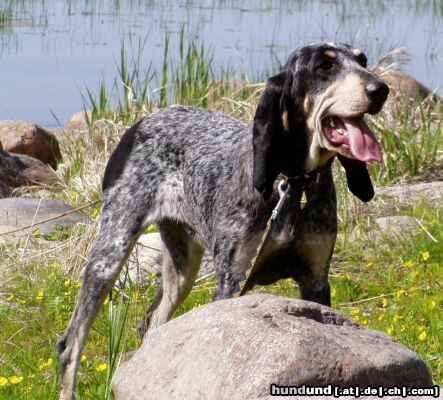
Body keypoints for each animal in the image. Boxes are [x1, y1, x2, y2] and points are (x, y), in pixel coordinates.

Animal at [55, 42, 388, 398]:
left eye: (362, 60)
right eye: (324, 67)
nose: (381, 89)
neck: (291, 184)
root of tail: (143, 121)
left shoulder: (315, 280)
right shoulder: (232, 281)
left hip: (182, 267)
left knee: (151, 322)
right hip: (110, 252)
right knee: (72, 340)